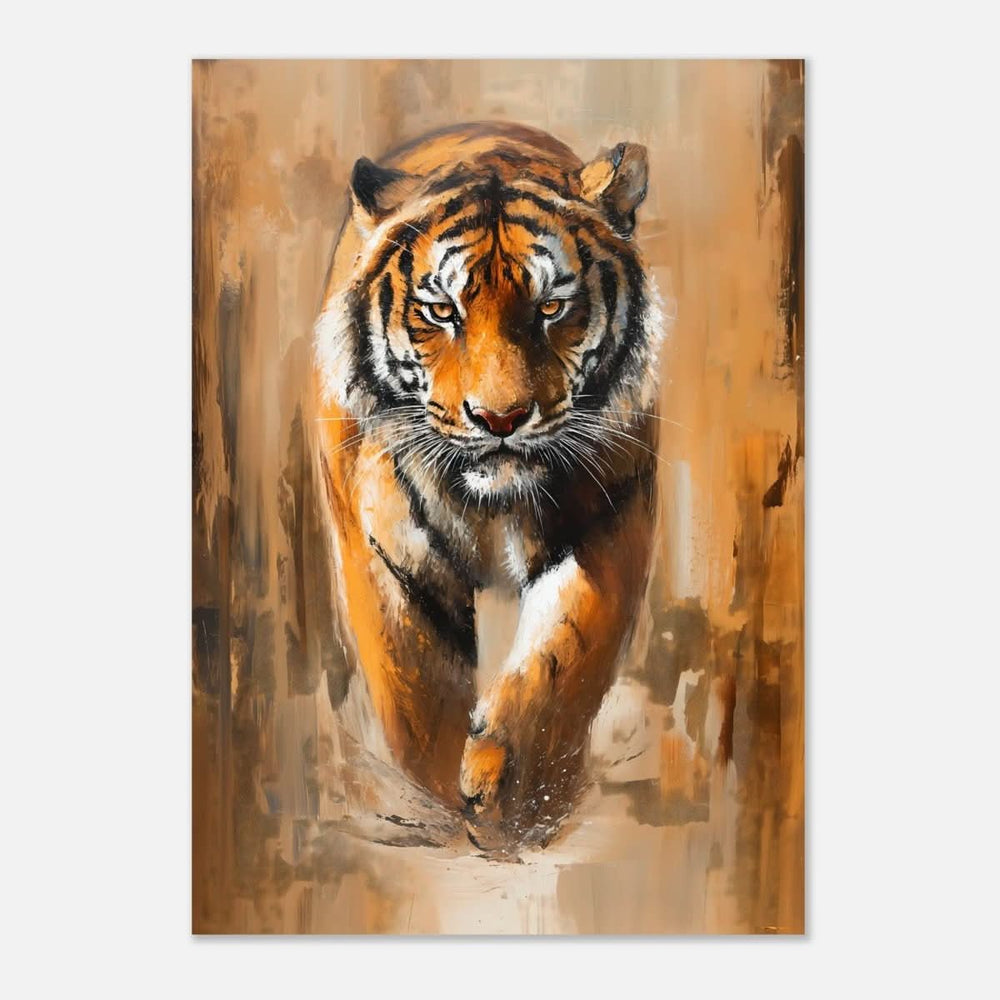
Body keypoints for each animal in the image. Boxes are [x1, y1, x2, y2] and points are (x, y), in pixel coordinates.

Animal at [313, 121, 665, 852]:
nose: (500, 419)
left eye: (552, 307)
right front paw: (448, 800)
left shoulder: (610, 520)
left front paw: (513, 797)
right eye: (441, 311)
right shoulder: (385, 553)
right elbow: (416, 691)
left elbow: (563, 659)